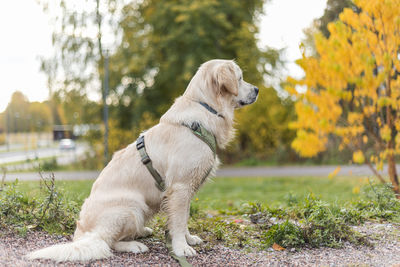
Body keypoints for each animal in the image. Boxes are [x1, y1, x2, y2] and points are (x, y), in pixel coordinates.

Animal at [28, 58, 260, 262]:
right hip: (132, 206)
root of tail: (82, 234)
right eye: (240, 78)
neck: (204, 108)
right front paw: (181, 248)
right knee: (108, 243)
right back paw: (134, 244)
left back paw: (141, 232)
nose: (257, 89)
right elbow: (178, 222)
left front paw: (188, 239)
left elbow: (183, 219)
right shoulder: (180, 187)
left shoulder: (185, 190)